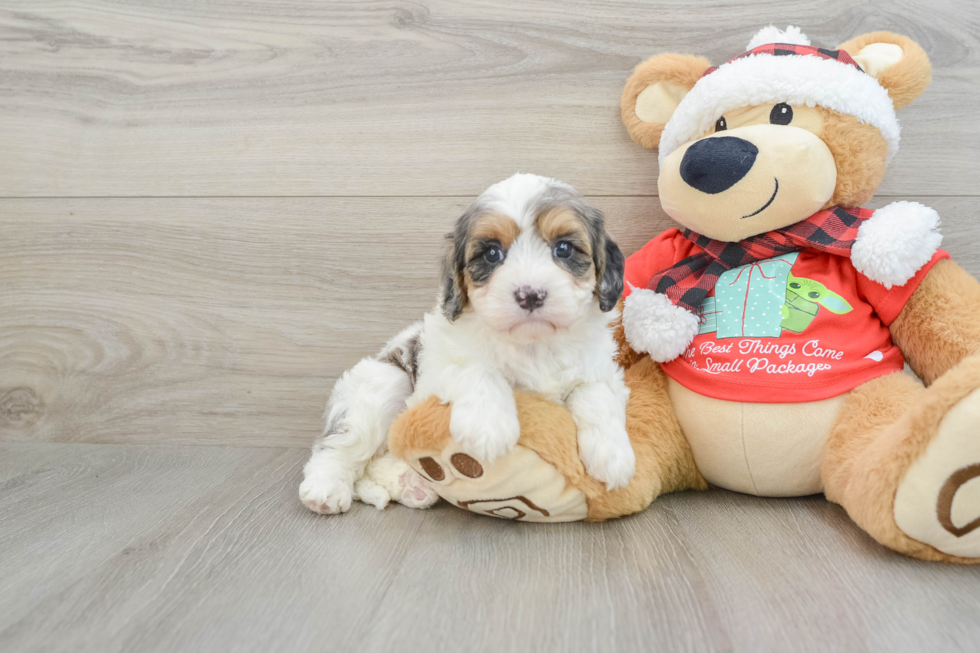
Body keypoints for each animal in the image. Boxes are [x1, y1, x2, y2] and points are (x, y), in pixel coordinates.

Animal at [300, 173, 636, 516]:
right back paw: (326, 488)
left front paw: (613, 455)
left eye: (564, 248)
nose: (530, 294)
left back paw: (412, 486)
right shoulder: (436, 366)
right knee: (339, 448)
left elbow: (596, 393)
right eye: (492, 254)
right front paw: (487, 427)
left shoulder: (601, 369)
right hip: (383, 383)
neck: (532, 344)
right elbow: (476, 369)